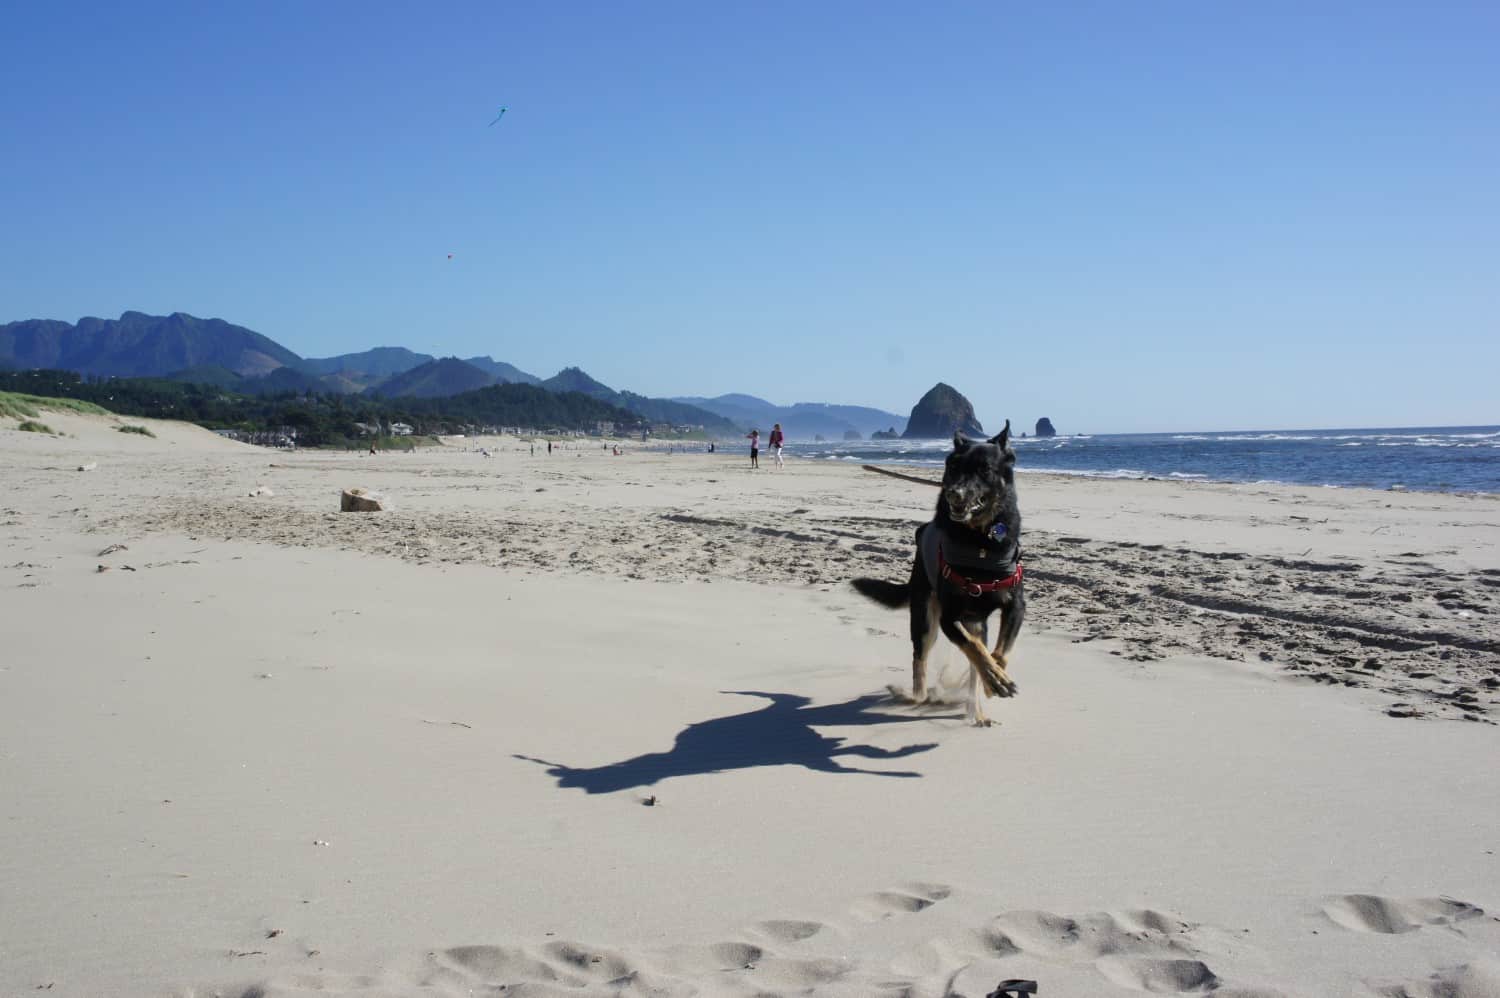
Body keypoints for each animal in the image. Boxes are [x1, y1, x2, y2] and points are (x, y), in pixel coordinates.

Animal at [852, 420, 1026, 723]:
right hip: (924, 618)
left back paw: (976, 710)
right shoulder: (949, 618)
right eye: (953, 467)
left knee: (974, 655)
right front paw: (995, 680)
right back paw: (918, 696)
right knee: (919, 657)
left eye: (984, 469)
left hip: (974, 622)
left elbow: (998, 652)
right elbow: (976, 649)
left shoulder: (1015, 606)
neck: (980, 542)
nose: (953, 492)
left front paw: (994, 680)